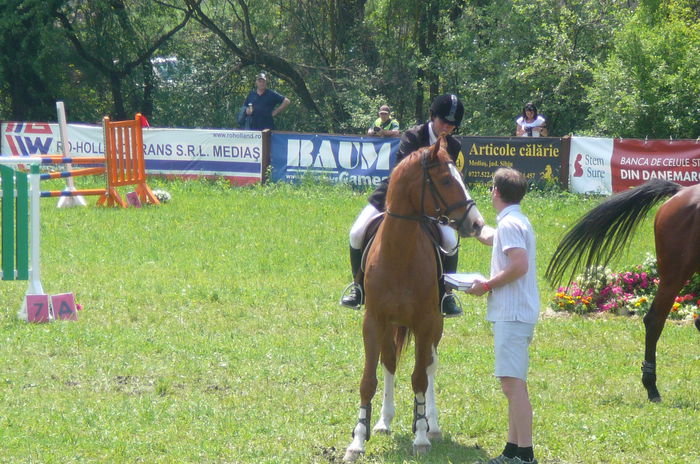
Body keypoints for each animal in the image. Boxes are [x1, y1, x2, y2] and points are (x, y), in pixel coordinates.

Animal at [342, 135, 484, 460]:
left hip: (435, 326)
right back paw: (384, 421)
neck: (399, 251)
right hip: (391, 326)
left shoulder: (425, 322)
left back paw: (431, 424)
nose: (477, 224)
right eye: (445, 180)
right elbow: (368, 380)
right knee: (390, 362)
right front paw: (358, 439)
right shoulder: (373, 321)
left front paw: (420, 434)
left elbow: (420, 376)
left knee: (429, 366)